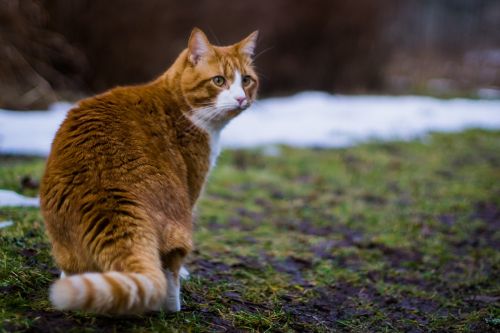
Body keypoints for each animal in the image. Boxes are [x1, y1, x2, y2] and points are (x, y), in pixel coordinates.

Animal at [39, 27, 258, 312]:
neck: (180, 107)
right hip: (179, 219)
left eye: (247, 80)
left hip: (61, 237)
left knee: (71, 266)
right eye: (219, 81)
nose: (241, 98)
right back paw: (172, 303)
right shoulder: (193, 183)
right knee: (168, 274)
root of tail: (106, 193)